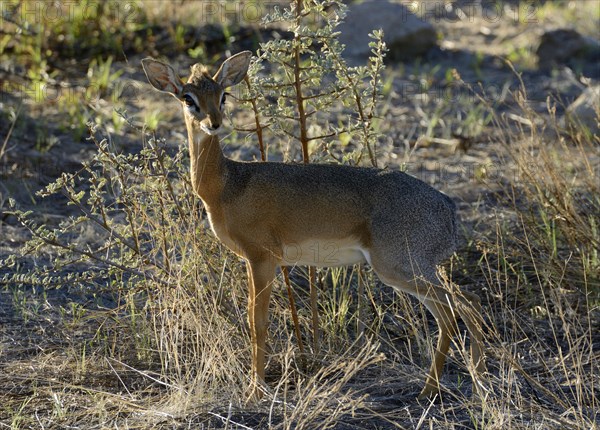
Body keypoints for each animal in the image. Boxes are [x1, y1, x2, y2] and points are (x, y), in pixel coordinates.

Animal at [141, 52, 482, 402]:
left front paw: (256, 391)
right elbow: (254, 319)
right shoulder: (256, 260)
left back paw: (446, 387)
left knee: (460, 308)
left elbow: (257, 322)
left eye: (223, 95)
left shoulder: (263, 258)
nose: (214, 123)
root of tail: (448, 207)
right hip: (416, 268)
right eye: (188, 97)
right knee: (463, 306)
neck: (227, 185)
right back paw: (460, 381)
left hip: (398, 266)